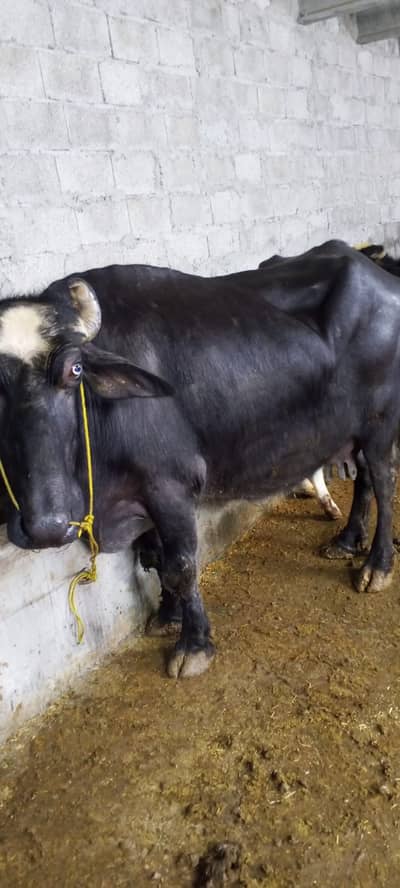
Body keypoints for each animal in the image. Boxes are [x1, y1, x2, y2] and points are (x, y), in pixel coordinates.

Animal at [0, 239, 399, 679]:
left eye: (75, 369)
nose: (46, 527)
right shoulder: (143, 492)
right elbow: (155, 558)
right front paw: (167, 616)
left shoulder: (170, 488)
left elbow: (181, 565)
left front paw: (193, 645)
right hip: (357, 431)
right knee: (364, 479)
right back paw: (347, 541)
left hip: (381, 423)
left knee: (384, 482)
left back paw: (377, 566)